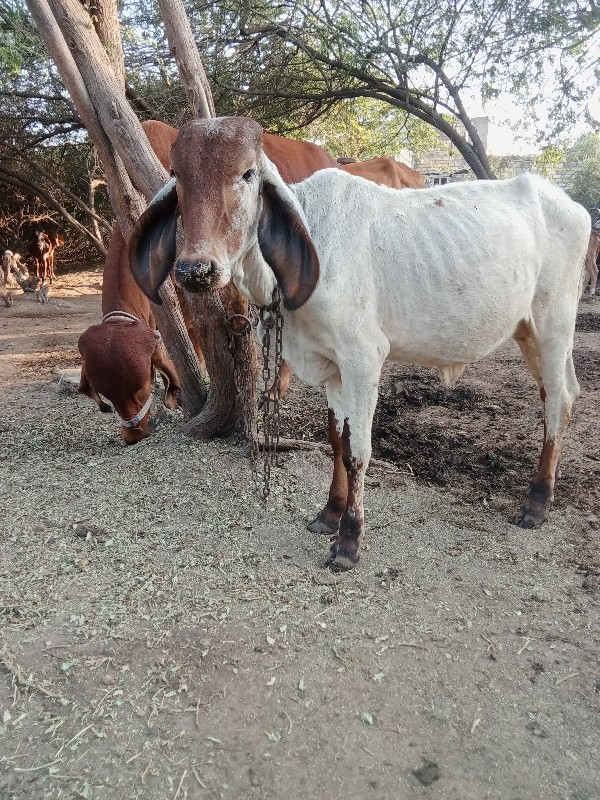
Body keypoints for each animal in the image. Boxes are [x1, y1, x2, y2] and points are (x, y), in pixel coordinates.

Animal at [127, 115, 592, 572]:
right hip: (527, 331)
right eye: (178, 176)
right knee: (563, 394)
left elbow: (358, 451)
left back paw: (537, 503)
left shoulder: (363, 359)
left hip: (553, 325)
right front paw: (329, 514)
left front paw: (348, 541)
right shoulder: (332, 366)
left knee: (557, 401)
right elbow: (337, 441)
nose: (196, 270)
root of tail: (570, 204)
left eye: (246, 174)